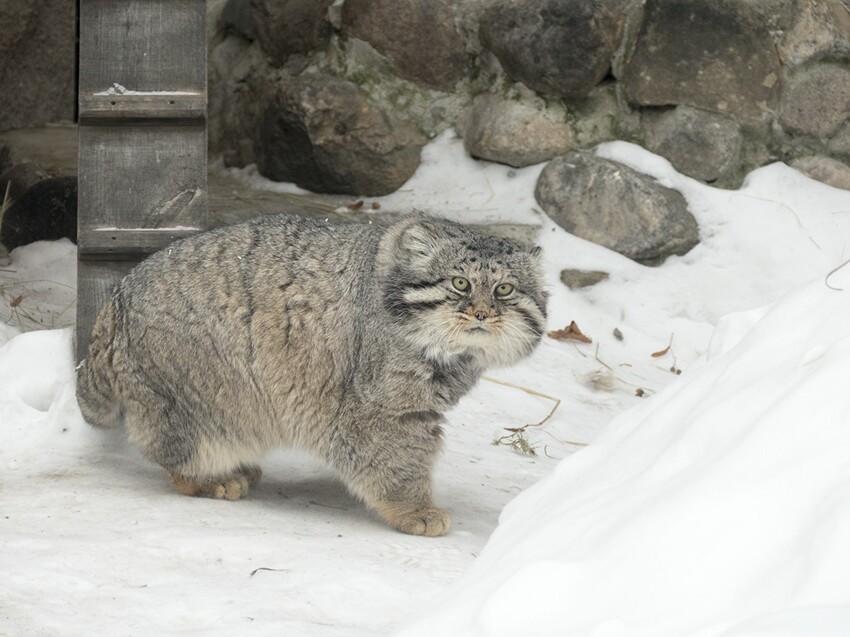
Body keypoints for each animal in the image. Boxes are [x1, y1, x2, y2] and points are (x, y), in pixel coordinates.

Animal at [76, 212, 548, 532]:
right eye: (460, 284)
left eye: (504, 289)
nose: (483, 313)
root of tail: (115, 301)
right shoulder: (381, 407)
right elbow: (397, 457)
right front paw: (415, 509)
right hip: (197, 395)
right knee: (176, 453)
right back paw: (211, 478)